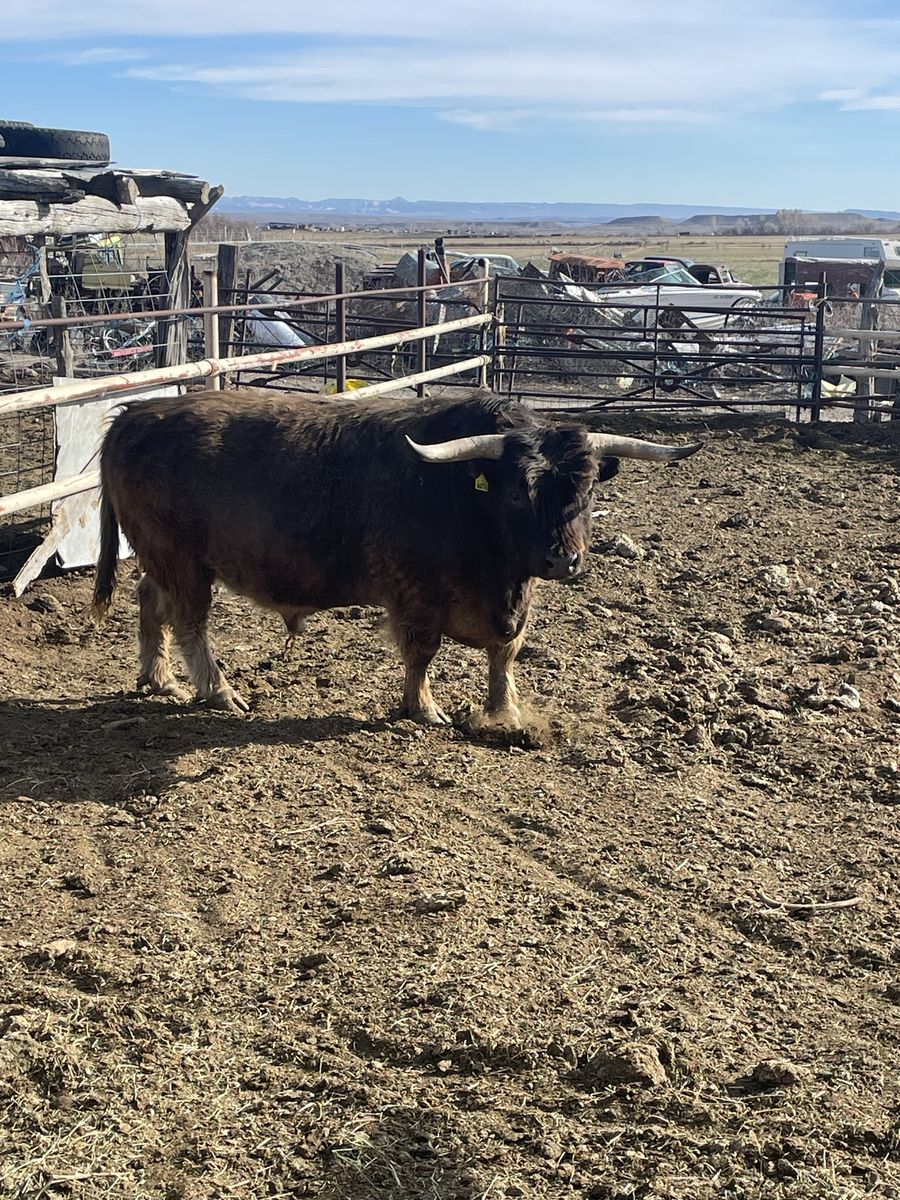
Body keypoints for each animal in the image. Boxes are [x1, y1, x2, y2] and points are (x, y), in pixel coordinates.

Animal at [92, 389, 701, 728]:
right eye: (515, 493)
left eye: (588, 488)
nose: (562, 562)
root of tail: (135, 414)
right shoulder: (417, 596)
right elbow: (422, 653)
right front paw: (422, 708)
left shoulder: (511, 602)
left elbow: (505, 652)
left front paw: (504, 713)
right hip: (182, 560)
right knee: (189, 622)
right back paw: (218, 691)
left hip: (162, 559)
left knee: (151, 603)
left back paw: (158, 678)